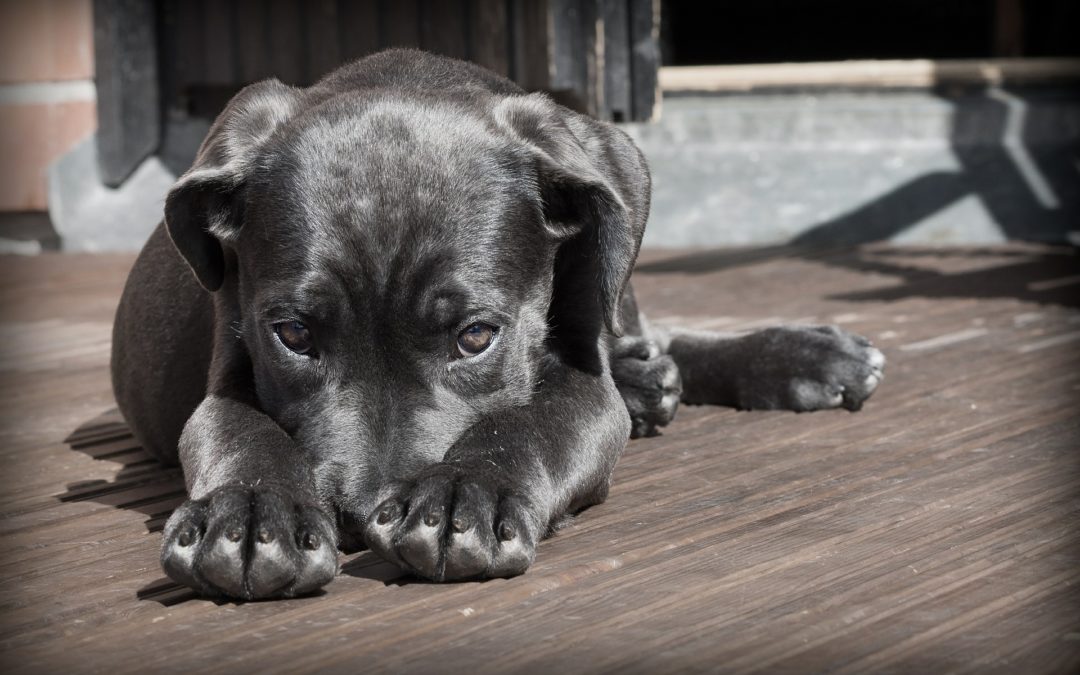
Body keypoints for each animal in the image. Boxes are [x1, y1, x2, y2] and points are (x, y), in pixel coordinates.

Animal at [111, 47, 885, 596]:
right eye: (293, 336)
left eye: (476, 336)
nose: (360, 516)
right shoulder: (228, 368)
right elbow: (240, 431)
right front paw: (248, 513)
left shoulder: (582, 382)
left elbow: (530, 422)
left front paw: (464, 494)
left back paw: (799, 357)